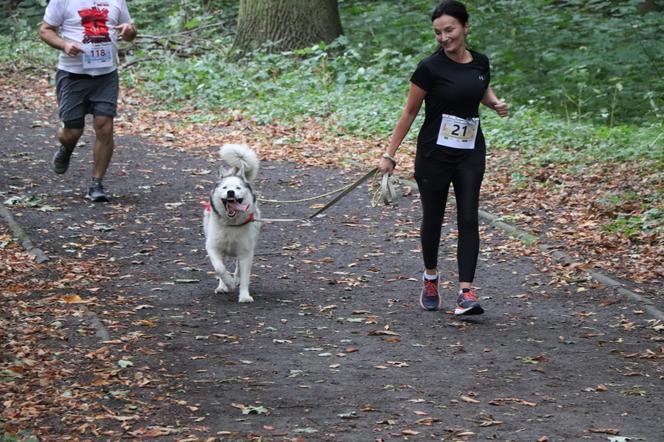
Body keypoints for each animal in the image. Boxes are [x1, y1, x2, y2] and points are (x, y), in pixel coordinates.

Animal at [204, 143, 260, 302]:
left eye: (238, 188)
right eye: (224, 188)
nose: (230, 192)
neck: (231, 224)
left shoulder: (246, 252)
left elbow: (245, 275)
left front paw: (244, 296)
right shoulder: (212, 247)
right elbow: (220, 268)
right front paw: (228, 283)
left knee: (238, 267)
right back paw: (223, 286)